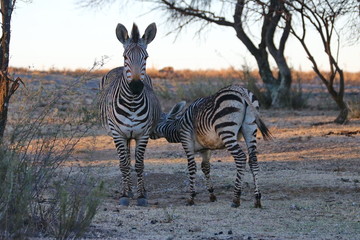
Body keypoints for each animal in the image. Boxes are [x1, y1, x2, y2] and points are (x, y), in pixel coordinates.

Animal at [98, 22, 160, 206]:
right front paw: (125, 195)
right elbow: (124, 164)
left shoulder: (143, 134)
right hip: (121, 134)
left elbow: (139, 164)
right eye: (125, 57)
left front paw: (141, 196)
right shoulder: (118, 133)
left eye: (146, 58)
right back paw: (127, 189)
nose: (136, 87)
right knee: (123, 160)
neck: (132, 102)